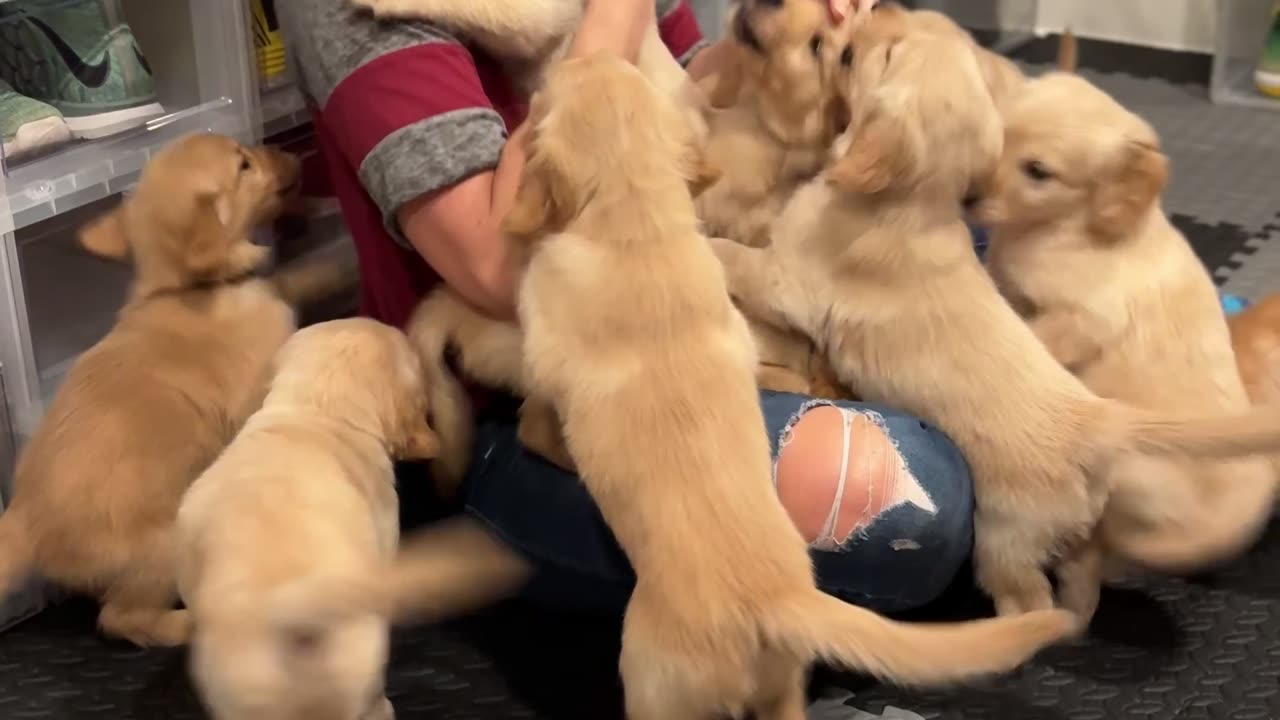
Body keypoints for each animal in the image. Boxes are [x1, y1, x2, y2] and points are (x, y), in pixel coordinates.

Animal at [0, 133, 355, 645]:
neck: (187, 288)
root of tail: (24, 518)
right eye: (244, 165)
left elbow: (288, 280)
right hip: (162, 543)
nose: (287, 152)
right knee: (122, 618)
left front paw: (335, 268)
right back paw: (186, 622)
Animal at [504, 50, 1075, 717]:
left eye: (549, 90)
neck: (634, 227)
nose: (585, 51)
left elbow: (540, 414)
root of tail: (780, 598)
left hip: (653, 684)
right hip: (782, 685)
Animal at [972, 71, 1274, 576]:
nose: (967, 195)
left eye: (1038, 171)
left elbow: (1035, 334)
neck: (1059, 229)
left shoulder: (1084, 319)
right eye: (996, 133)